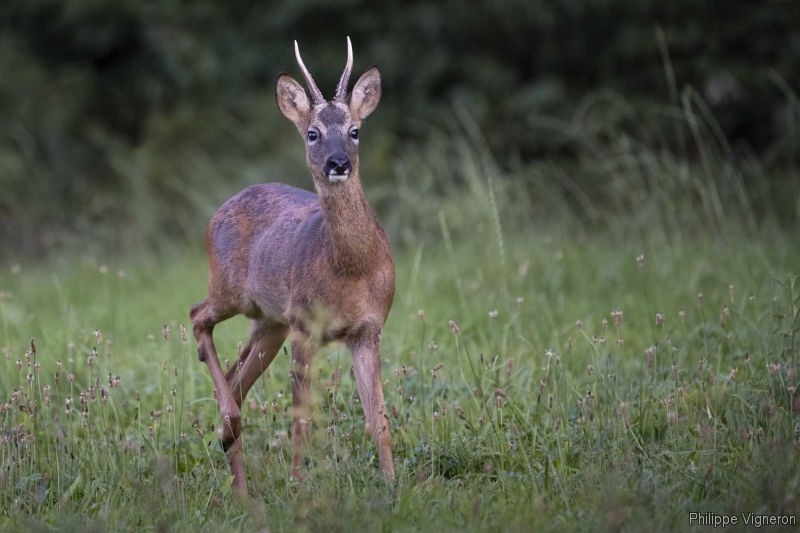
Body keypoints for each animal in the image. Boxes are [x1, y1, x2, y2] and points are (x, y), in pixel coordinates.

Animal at [191, 37, 396, 494]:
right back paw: (231, 435)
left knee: (235, 374)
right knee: (197, 317)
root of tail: (217, 212)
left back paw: (236, 471)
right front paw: (298, 484)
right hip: (231, 292)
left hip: (270, 323)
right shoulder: (305, 326)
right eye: (312, 133)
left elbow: (379, 418)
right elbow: (301, 420)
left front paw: (395, 482)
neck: (353, 271)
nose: (338, 163)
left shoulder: (368, 330)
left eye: (355, 130)